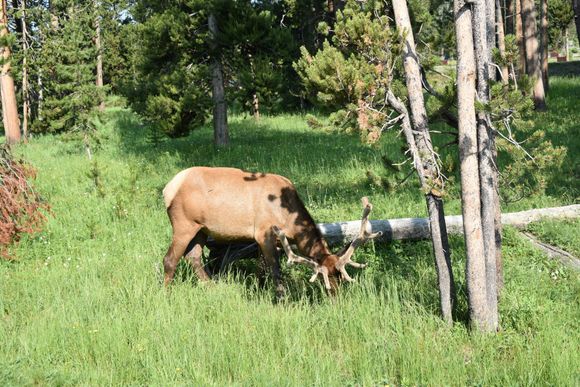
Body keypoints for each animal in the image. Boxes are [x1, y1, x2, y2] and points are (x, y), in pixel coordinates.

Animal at [162, 167, 380, 294]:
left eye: (340, 277)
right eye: (323, 278)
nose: (335, 296)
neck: (289, 216)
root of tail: (168, 189)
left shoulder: (269, 240)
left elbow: (262, 269)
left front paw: (260, 290)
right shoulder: (263, 233)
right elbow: (275, 270)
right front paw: (281, 298)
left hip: (201, 228)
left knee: (193, 256)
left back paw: (212, 287)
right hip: (184, 223)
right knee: (170, 259)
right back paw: (166, 293)